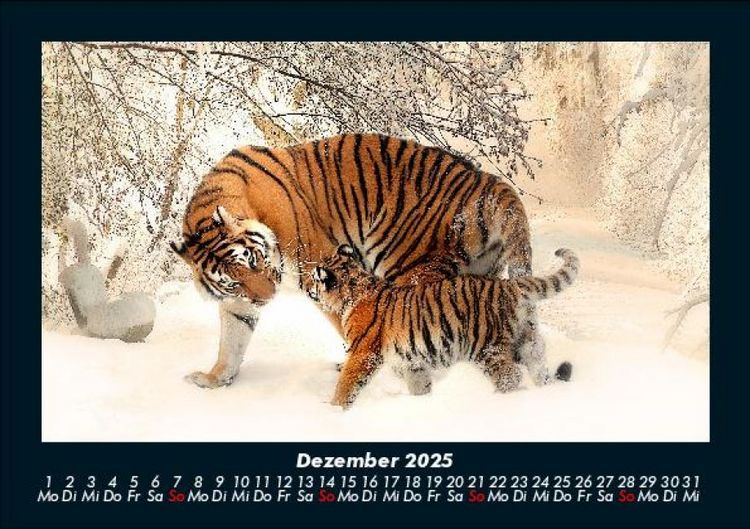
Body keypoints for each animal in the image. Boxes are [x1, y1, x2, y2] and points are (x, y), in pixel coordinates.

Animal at [171, 134, 533, 389]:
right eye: (233, 281)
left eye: (255, 260)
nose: (268, 298)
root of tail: (488, 182)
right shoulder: (238, 301)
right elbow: (232, 339)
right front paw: (214, 379)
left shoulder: (319, 270)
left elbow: (350, 324)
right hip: (478, 274)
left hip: (409, 267)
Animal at [308, 245, 578, 408]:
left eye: (313, 278)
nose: (308, 288)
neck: (353, 291)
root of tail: (510, 285)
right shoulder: (412, 361)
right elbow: (419, 384)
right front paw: (422, 404)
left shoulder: (363, 353)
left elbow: (347, 383)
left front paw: (334, 409)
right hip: (527, 339)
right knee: (538, 364)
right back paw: (544, 391)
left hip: (486, 348)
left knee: (510, 376)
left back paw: (496, 401)